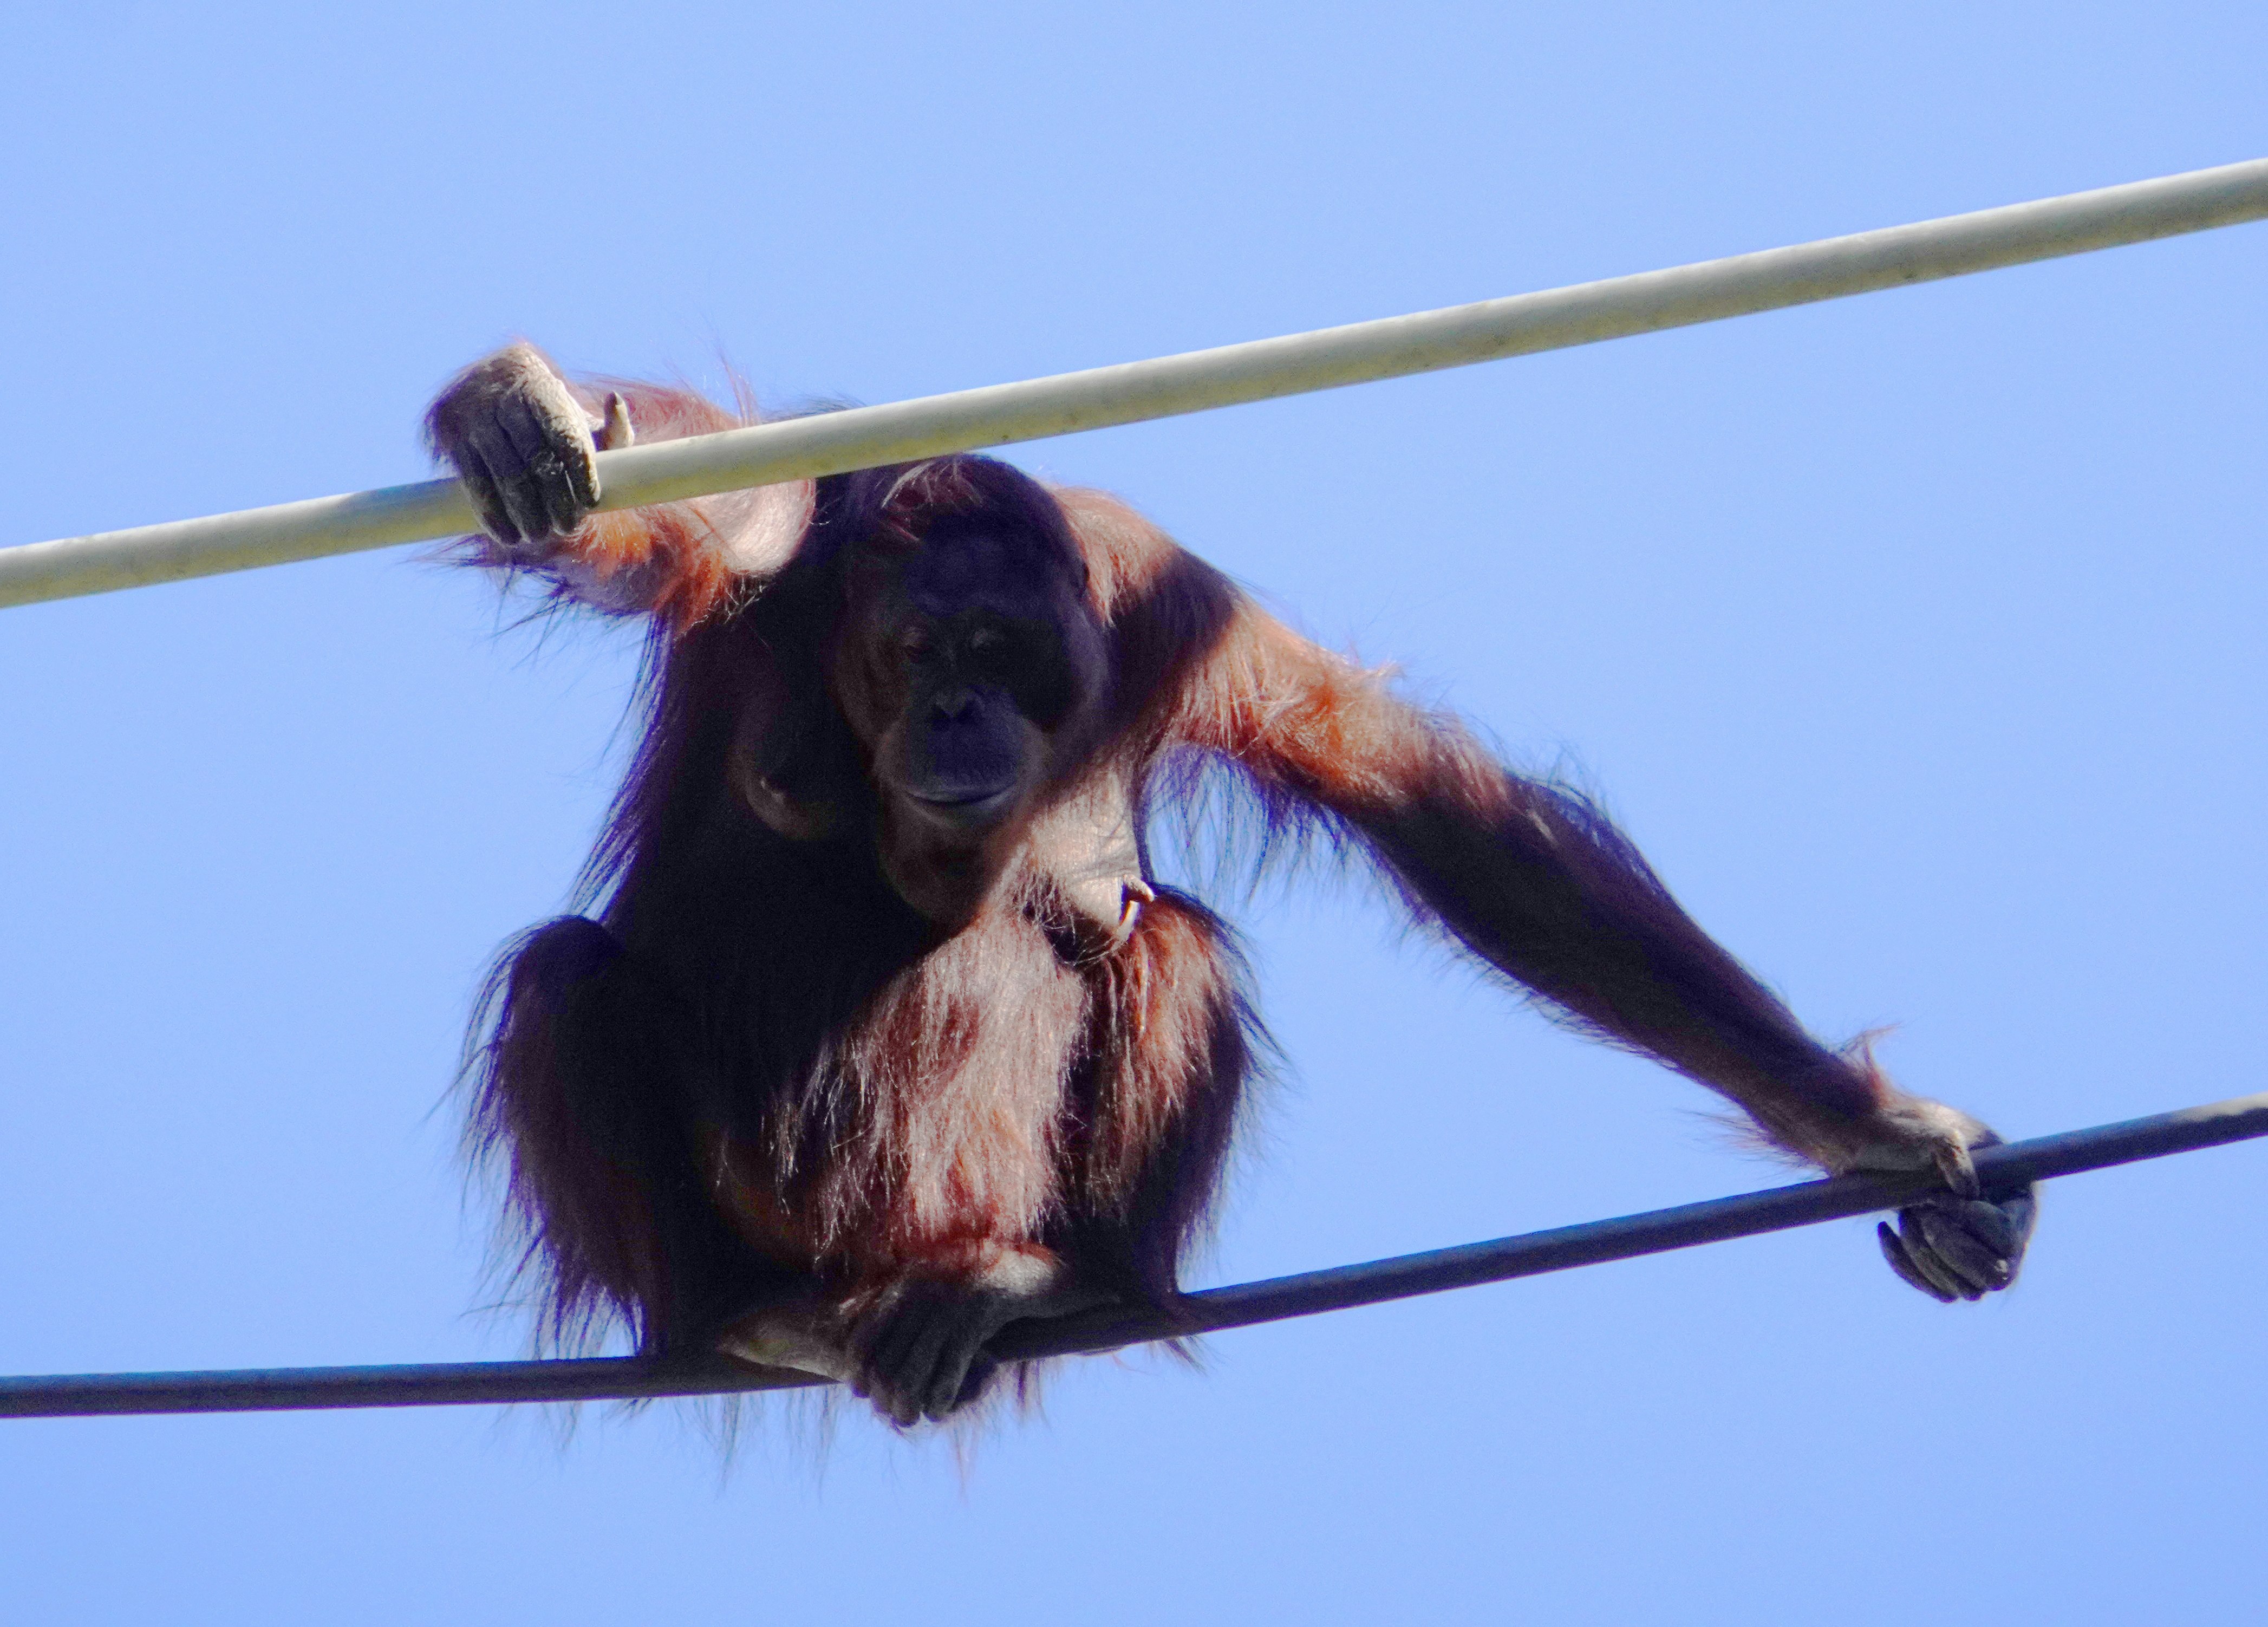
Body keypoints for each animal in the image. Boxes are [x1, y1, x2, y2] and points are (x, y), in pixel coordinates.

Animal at [428, 341, 2034, 1426]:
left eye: (998, 647)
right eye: (922, 650)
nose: (957, 715)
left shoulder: (1161, 597)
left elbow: (1433, 809)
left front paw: (1884, 1129)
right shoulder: (784, 517)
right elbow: (682, 499)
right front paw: (521, 408)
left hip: (987, 1204)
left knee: (1172, 939)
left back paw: (1061, 1280)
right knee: (566, 977)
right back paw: (753, 1317)